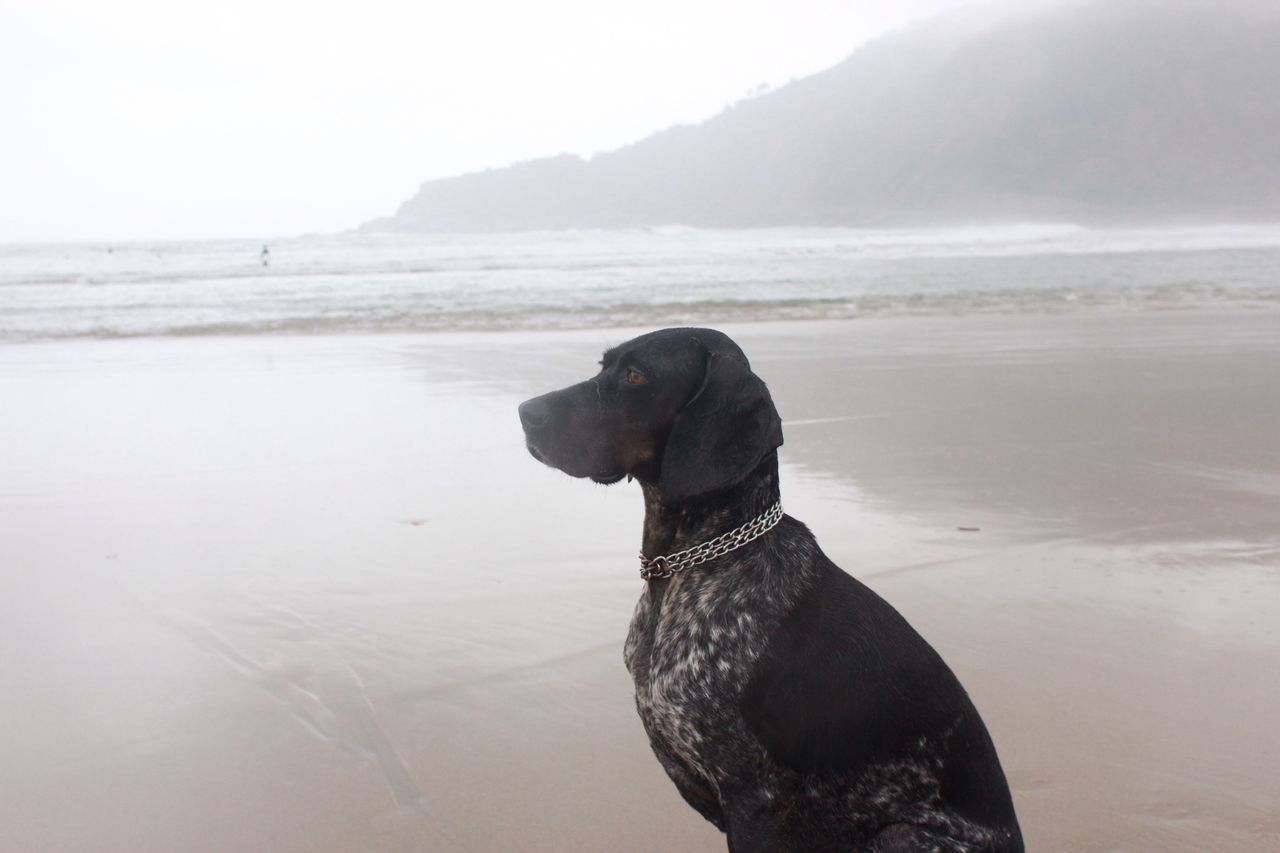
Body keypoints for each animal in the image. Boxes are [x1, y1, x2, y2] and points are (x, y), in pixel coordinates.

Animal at [517, 326, 1018, 850]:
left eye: (635, 376)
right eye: (603, 367)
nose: (525, 412)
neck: (688, 568)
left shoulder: (755, 798)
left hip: (900, 835)